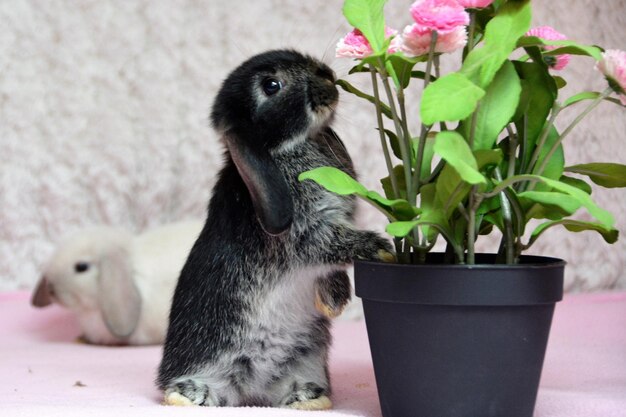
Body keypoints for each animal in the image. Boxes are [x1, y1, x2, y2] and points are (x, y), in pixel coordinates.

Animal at [156, 49, 390, 410]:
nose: (327, 76)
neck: (286, 148)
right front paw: (383, 248)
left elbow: (330, 268)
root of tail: (250, 388)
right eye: (271, 85)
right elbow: (332, 245)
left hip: (306, 360)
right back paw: (190, 395)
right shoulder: (310, 232)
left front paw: (334, 303)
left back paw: (306, 398)